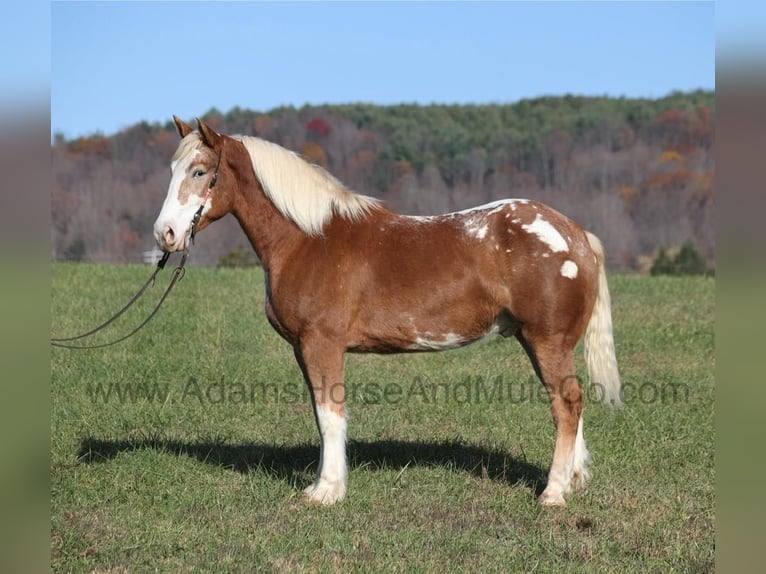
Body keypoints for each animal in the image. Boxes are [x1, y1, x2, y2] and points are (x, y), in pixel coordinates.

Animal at [154, 116, 621, 507]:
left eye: (199, 172)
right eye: (172, 170)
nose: (165, 234)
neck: (308, 239)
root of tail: (576, 235)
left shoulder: (321, 345)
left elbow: (331, 416)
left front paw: (327, 491)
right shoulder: (304, 349)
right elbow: (321, 415)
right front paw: (323, 484)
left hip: (546, 340)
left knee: (567, 404)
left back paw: (553, 494)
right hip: (542, 342)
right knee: (571, 404)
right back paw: (574, 480)